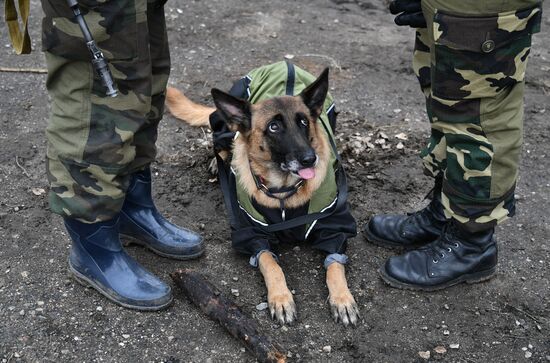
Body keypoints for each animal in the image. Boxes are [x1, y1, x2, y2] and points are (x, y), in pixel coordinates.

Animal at [166, 66, 360, 328]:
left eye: (303, 122)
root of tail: (283, 64)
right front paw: (281, 298)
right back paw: (220, 163)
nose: (310, 159)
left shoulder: (334, 227)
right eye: (273, 127)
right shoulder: (252, 233)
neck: (284, 191)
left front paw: (342, 298)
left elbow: (336, 265)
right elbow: (270, 264)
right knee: (223, 144)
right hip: (222, 125)